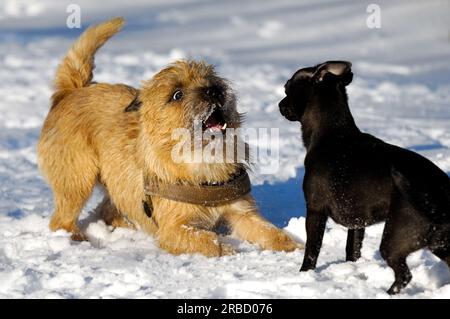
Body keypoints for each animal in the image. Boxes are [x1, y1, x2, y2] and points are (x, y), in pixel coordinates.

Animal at [37, 16, 300, 258]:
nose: (214, 90)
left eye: (211, 78)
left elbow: (270, 232)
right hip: (77, 180)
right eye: (177, 94)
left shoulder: (241, 212)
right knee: (61, 219)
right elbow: (206, 240)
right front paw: (226, 249)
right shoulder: (174, 228)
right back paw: (75, 237)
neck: (204, 159)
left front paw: (296, 247)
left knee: (107, 210)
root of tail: (72, 91)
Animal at [278, 61, 450, 296]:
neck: (331, 133)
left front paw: (304, 274)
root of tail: (438, 192)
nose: (280, 105)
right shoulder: (357, 222)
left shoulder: (315, 210)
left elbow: (312, 250)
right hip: (441, 244)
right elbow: (352, 249)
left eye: (287, 87)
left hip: (395, 239)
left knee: (404, 274)